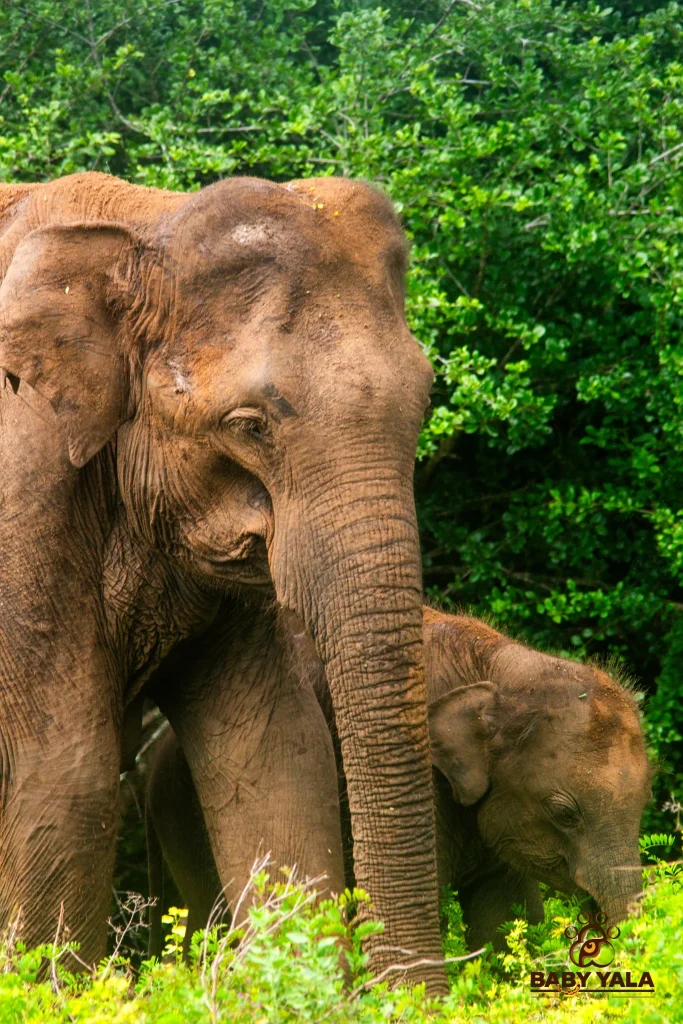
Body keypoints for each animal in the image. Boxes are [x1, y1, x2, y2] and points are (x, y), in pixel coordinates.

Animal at [0, 171, 446, 988]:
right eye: (250, 426)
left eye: (424, 402)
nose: (419, 1000)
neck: (141, 229)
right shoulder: (22, 474)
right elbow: (61, 766)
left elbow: (276, 751)